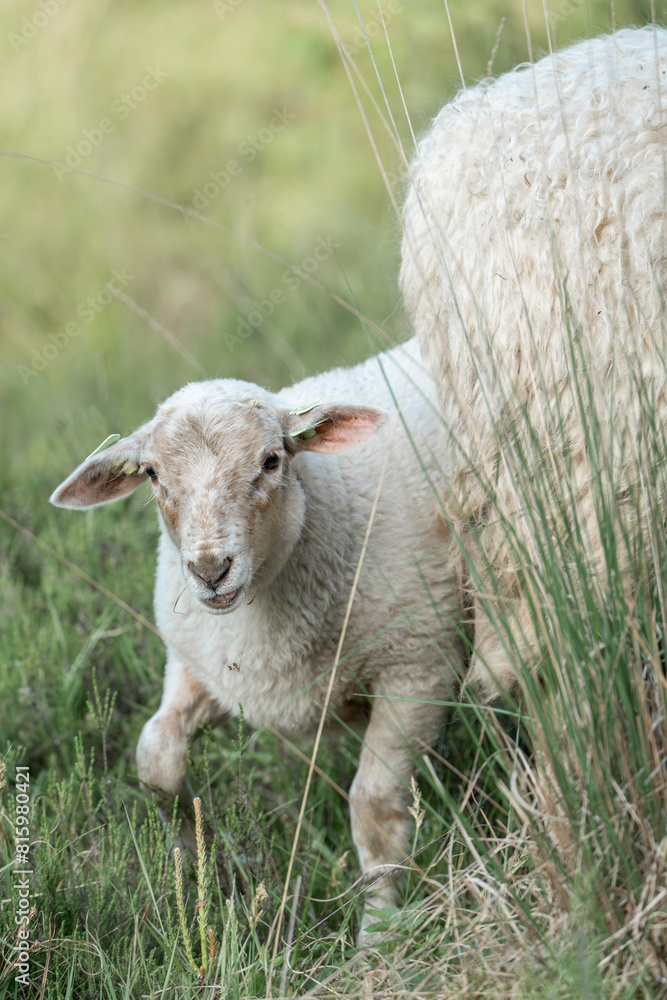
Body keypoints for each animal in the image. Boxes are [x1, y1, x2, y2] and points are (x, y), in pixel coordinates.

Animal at [50, 339, 466, 938]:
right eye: (151, 473)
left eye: (272, 460)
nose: (209, 570)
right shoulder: (205, 668)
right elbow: (156, 759)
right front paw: (202, 868)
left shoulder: (419, 665)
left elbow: (374, 805)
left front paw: (379, 931)